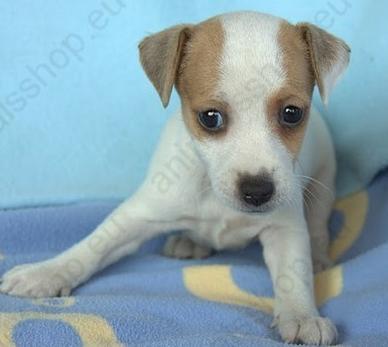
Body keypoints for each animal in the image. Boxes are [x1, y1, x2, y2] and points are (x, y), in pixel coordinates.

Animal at [0, 10, 350, 346]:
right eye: (210, 118)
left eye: (292, 113)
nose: (257, 190)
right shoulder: (140, 213)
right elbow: (93, 245)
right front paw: (46, 271)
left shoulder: (284, 227)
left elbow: (293, 272)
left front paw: (302, 315)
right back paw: (188, 241)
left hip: (324, 184)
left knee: (318, 226)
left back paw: (318, 257)